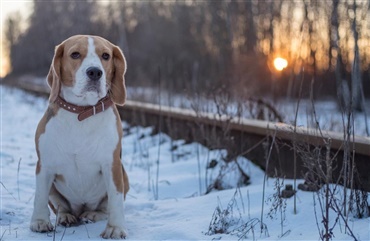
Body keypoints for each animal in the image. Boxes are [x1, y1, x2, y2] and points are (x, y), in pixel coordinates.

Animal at [30, 34, 130, 239]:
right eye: (75, 54)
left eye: (106, 56)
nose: (95, 72)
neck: (81, 112)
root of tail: (81, 208)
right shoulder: (44, 165)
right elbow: (40, 195)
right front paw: (39, 221)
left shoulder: (112, 165)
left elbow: (115, 199)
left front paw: (116, 228)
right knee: (61, 207)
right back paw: (66, 217)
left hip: (124, 176)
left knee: (104, 209)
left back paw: (92, 214)